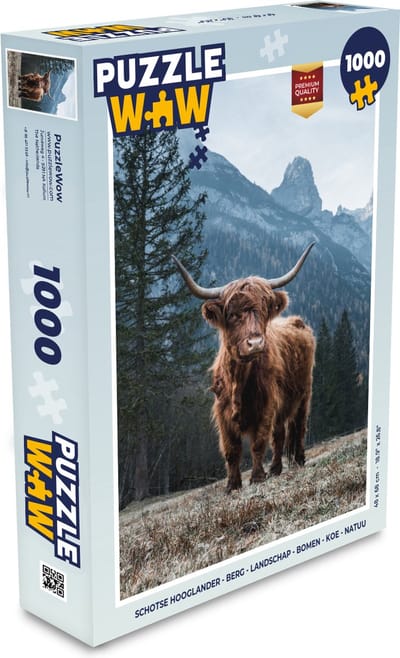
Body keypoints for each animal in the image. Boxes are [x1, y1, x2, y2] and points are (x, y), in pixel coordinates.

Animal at [172, 243, 316, 493]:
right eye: (232, 314)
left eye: (264, 310)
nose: (256, 343)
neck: (239, 380)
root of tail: (297, 321)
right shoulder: (222, 412)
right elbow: (231, 450)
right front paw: (232, 485)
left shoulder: (266, 405)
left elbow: (258, 443)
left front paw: (257, 477)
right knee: (280, 434)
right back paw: (276, 469)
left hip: (304, 394)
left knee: (298, 426)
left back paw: (297, 460)